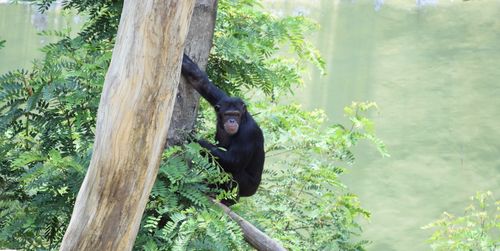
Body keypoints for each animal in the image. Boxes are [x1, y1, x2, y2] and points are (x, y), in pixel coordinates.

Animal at [181, 54, 266, 201]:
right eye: (227, 114)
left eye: (236, 114)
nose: (232, 121)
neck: (242, 120)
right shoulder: (220, 100)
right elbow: (201, 82)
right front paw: (185, 62)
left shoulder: (248, 133)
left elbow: (233, 161)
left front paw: (195, 139)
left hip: (249, 187)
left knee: (233, 172)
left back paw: (228, 200)